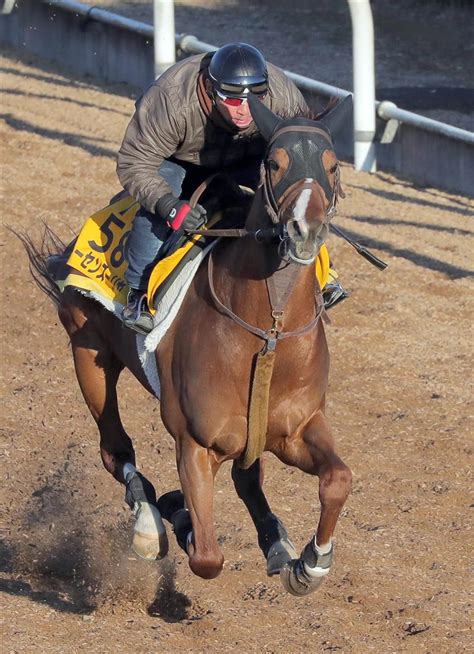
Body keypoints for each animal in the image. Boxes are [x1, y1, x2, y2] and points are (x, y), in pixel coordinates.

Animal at [24, 93, 354, 600]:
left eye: (333, 165)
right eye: (273, 163)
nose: (306, 229)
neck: (269, 333)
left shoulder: (298, 427)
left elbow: (337, 478)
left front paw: (310, 563)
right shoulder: (194, 443)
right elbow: (206, 557)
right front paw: (178, 514)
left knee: (247, 475)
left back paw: (277, 543)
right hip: (89, 355)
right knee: (115, 449)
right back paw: (149, 524)